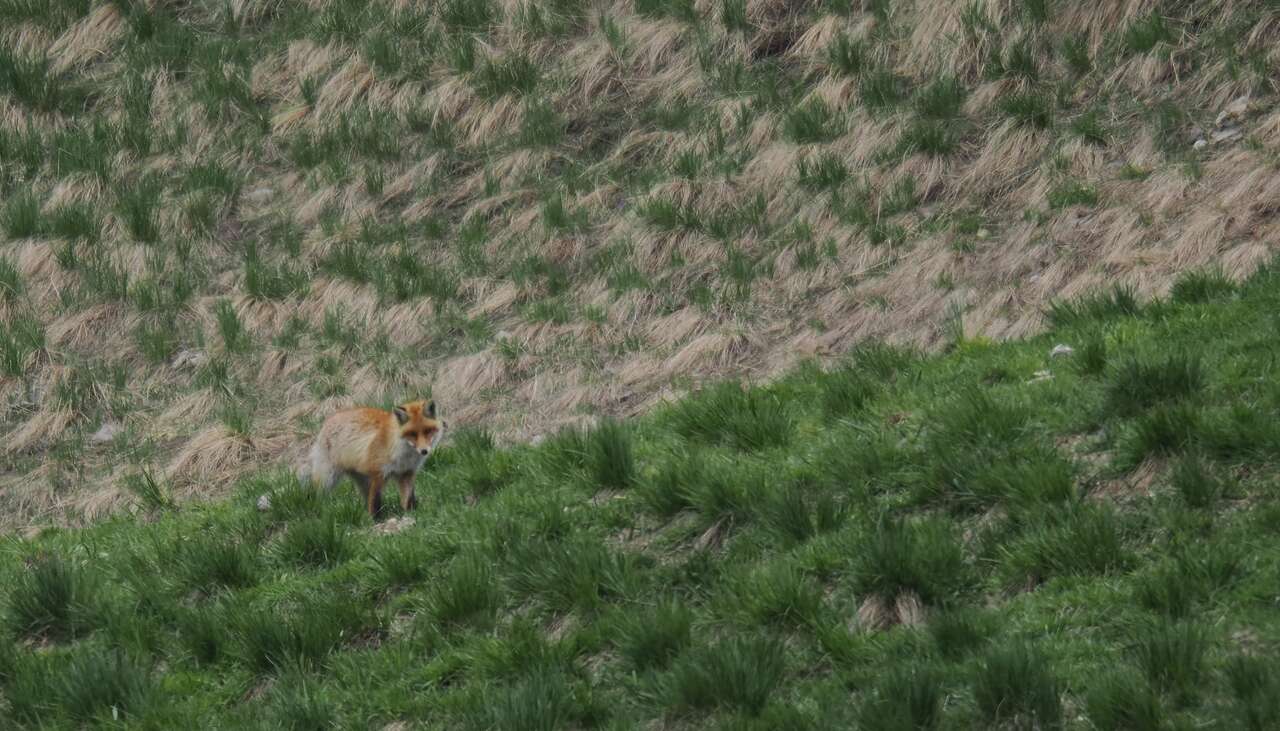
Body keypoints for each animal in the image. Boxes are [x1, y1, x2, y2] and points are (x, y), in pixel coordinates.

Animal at [299, 399, 446, 519]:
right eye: (412, 434)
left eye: (428, 431)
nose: (424, 451)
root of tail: (328, 420)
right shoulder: (378, 474)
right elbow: (374, 501)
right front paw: (375, 520)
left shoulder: (406, 474)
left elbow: (407, 498)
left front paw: (409, 513)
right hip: (328, 478)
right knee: (318, 495)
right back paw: (320, 511)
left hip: (362, 480)